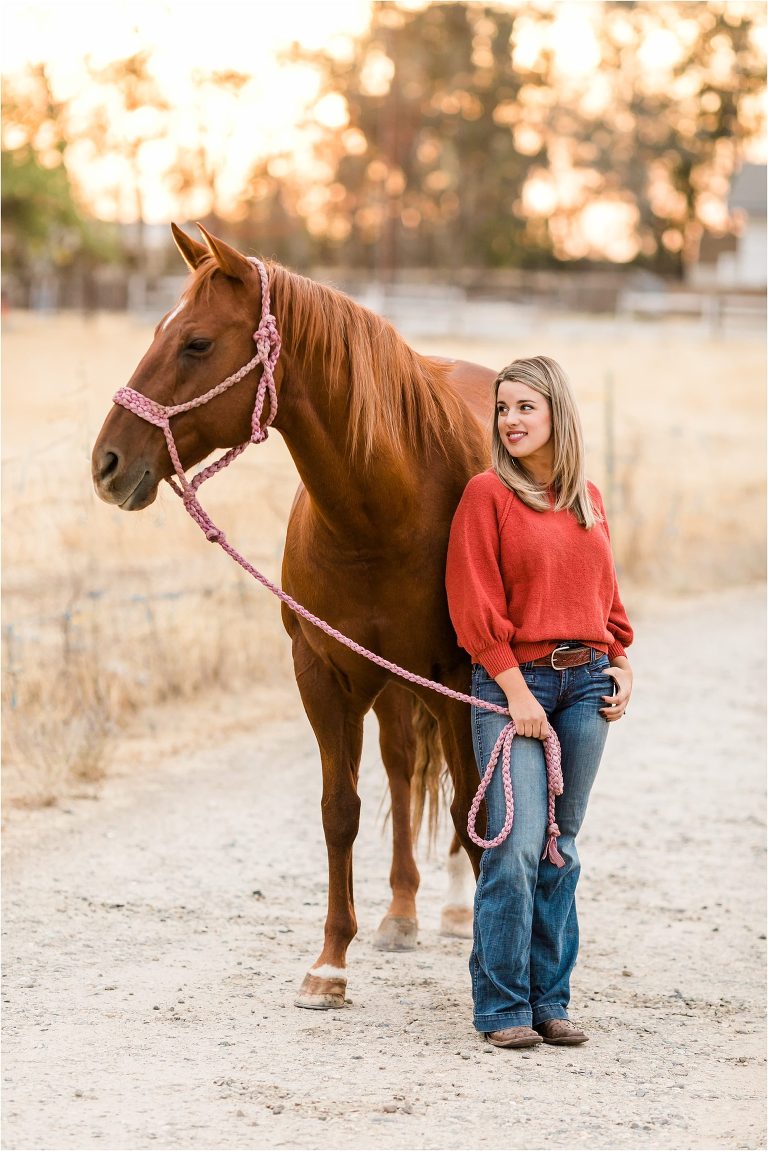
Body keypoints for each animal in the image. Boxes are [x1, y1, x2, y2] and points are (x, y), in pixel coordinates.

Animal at [91, 224, 496, 1010]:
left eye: (196, 343)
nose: (107, 462)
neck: (383, 510)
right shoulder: (323, 671)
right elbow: (340, 809)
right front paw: (330, 965)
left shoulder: (458, 675)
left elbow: (473, 800)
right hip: (391, 686)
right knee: (402, 765)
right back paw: (403, 912)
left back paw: (462, 908)